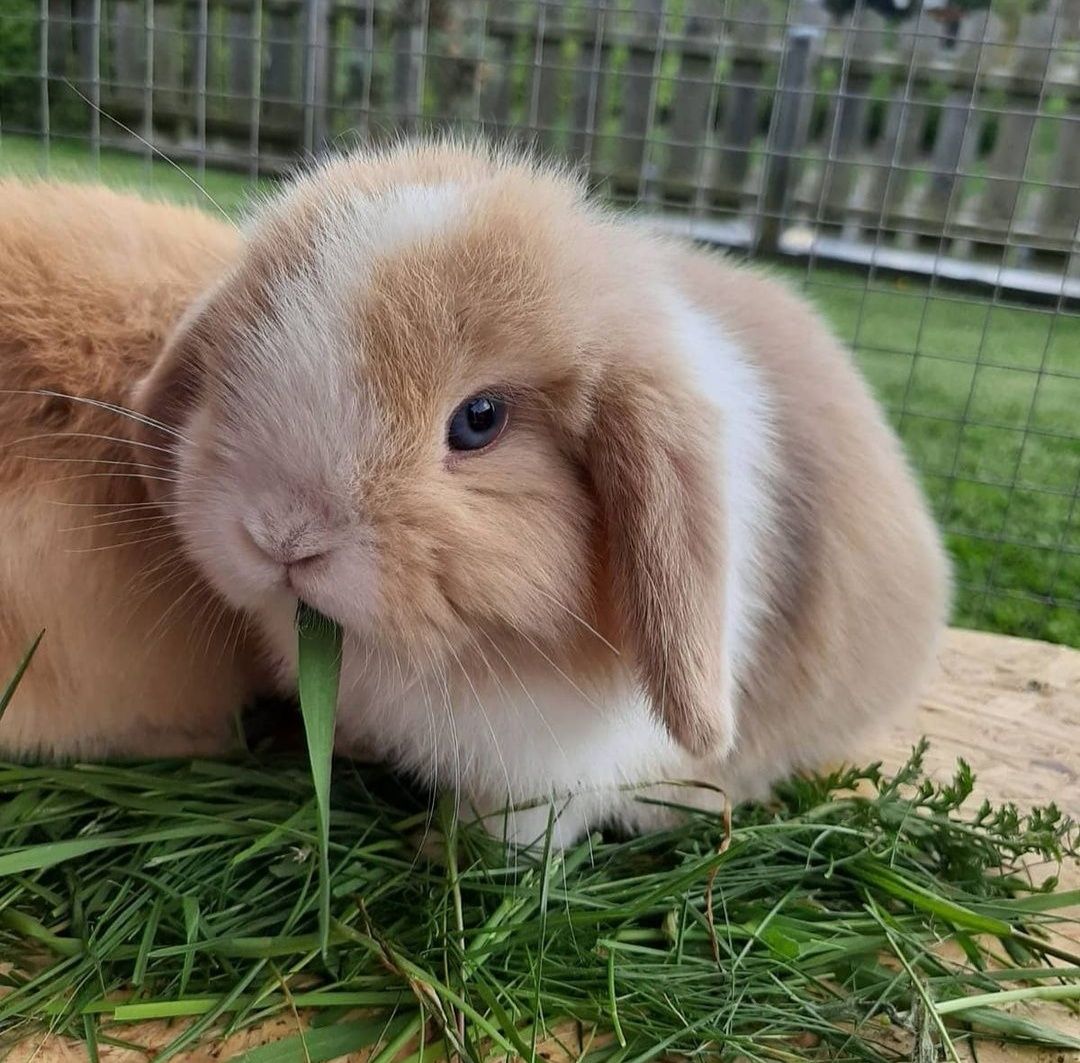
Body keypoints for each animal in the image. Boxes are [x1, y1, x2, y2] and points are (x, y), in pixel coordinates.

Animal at [0, 143, 950, 846]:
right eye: (236, 362)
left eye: (480, 420)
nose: (280, 534)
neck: (442, 655)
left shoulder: (551, 771)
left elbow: (521, 830)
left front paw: (454, 855)